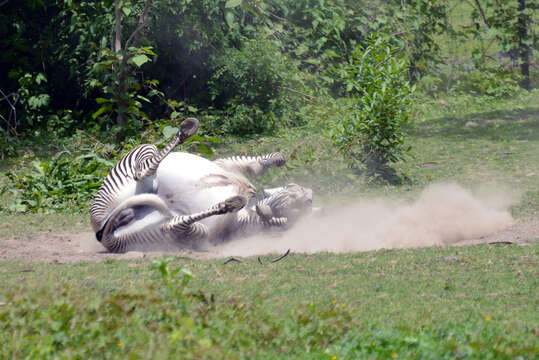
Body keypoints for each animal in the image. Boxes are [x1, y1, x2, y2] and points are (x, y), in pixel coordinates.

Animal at [90, 118, 314, 253]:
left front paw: (268, 214)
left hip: (179, 233)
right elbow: (275, 158)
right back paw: (187, 130)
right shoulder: (228, 164)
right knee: (144, 169)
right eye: (294, 192)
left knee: (173, 222)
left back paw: (231, 203)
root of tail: (104, 235)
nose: (311, 196)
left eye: (303, 204)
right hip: (143, 156)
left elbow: (275, 220)